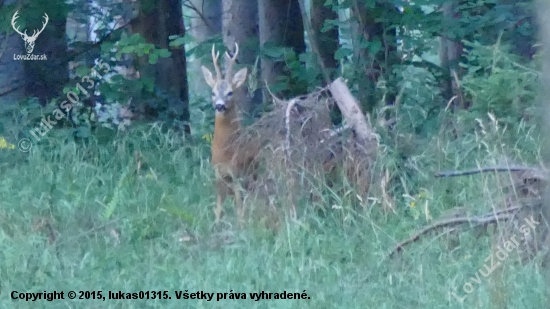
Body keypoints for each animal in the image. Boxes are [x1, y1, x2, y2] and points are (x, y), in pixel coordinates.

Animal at [203, 42, 250, 225]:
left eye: (230, 92)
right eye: (213, 93)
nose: (219, 105)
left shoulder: (237, 172)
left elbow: (239, 206)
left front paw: (241, 224)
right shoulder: (218, 172)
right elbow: (219, 207)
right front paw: (216, 224)